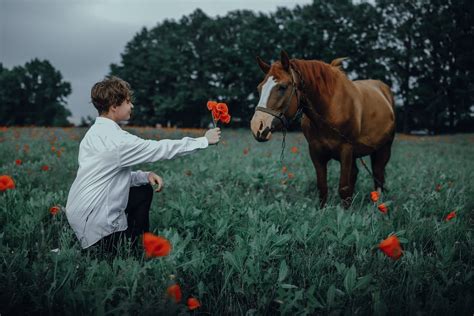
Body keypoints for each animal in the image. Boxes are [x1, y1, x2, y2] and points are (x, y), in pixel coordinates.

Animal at [252, 50, 396, 206]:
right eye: (259, 88)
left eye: (282, 87)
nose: (257, 127)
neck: (330, 109)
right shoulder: (316, 152)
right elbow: (322, 188)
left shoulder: (346, 150)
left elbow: (343, 188)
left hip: (383, 149)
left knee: (378, 174)